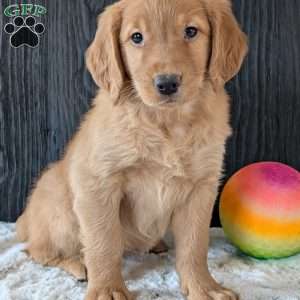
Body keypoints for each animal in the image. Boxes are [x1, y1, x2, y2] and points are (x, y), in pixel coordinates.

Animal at [16, 0, 247, 298]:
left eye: (191, 31)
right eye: (136, 37)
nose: (167, 83)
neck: (166, 123)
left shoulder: (201, 187)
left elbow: (195, 245)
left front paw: (203, 287)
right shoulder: (98, 183)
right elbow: (103, 242)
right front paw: (106, 289)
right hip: (61, 212)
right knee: (38, 250)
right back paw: (78, 266)